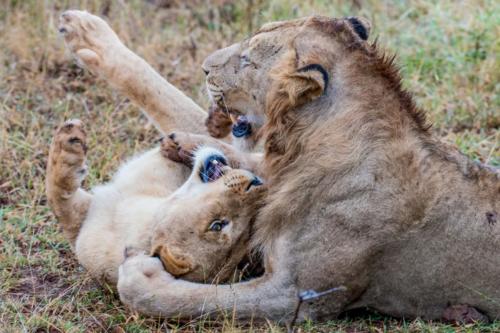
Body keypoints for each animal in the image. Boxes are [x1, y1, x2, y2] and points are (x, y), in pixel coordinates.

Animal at [118, 14, 500, 322]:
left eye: (247, 59)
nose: (205, 68)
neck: (304, 146)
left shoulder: (296, 296)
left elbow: (198, 301)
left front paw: (139, 274)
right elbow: (252, 162)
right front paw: (184, 142)